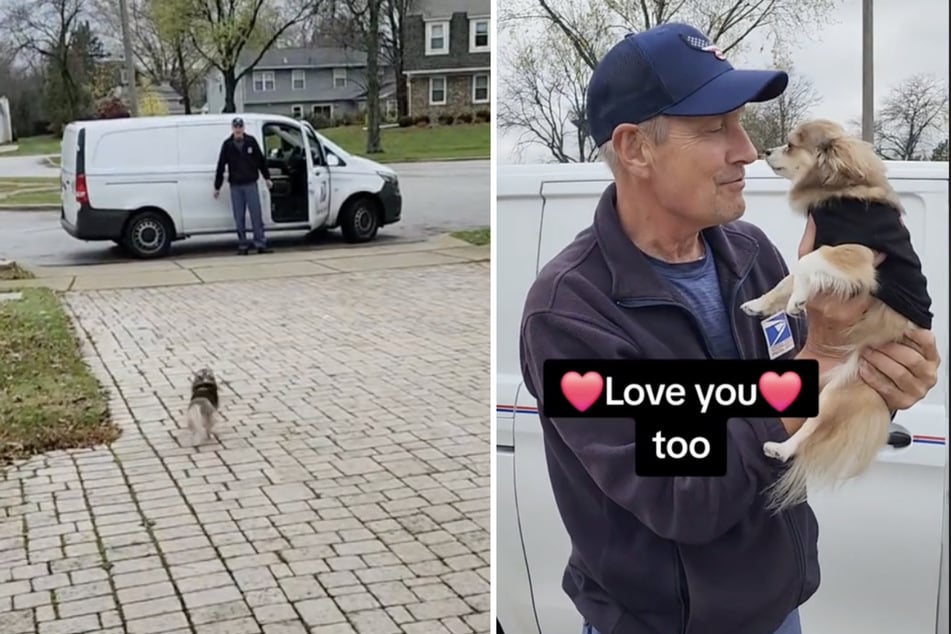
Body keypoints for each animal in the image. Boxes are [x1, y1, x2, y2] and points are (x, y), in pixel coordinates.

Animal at [740, 118, 932, 512]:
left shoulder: (856, 255)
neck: (840, 192)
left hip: (841, 394)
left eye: (791, 145)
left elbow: (806, 265)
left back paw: (780, 448)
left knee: (812, 429)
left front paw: (797, 300)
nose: (766, 150)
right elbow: (788, 276)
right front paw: (760, 304)